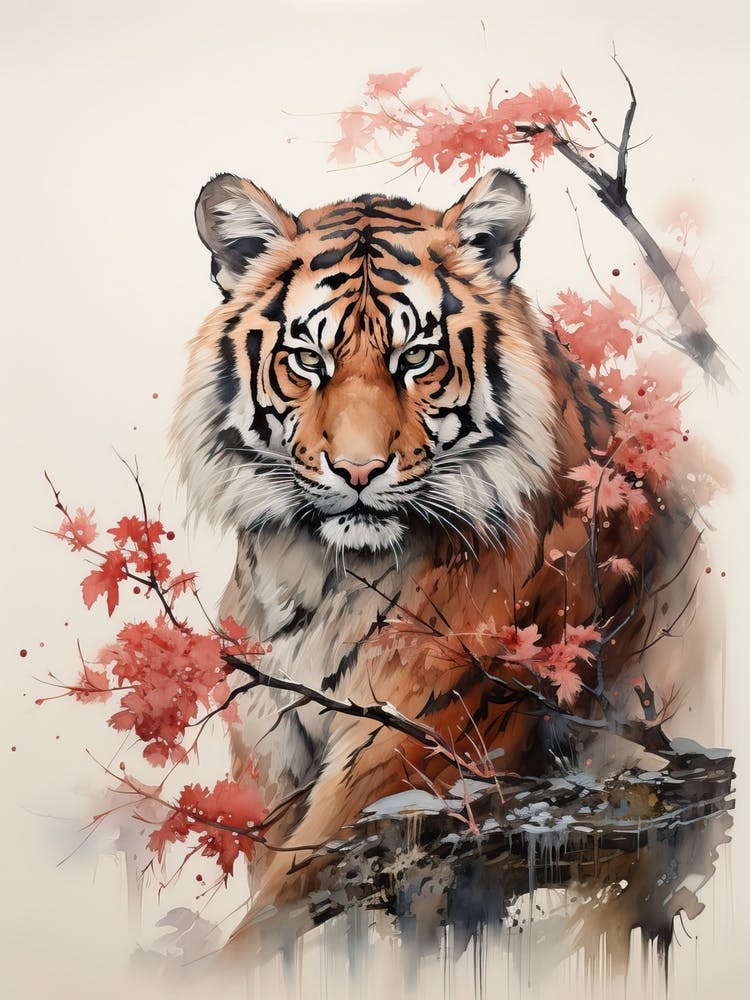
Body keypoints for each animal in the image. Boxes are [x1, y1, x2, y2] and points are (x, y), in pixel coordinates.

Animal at [172, 168, 695, 944]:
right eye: (308, 360)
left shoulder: (415, 748)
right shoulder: (268, 747)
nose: (358, 471)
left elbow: (274, 915)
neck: (319, 574)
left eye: (415, 357)